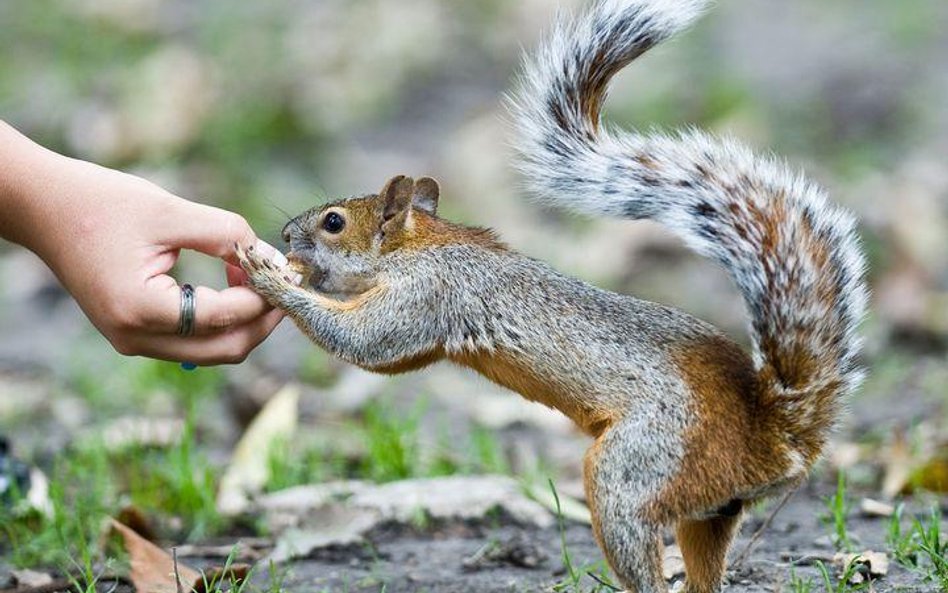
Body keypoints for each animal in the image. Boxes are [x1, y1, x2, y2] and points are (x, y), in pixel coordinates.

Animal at [237, 1, 868, 592]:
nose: (286, 236)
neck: (423, 246)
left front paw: (274, 278)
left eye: (334, 222)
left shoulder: (430, 294)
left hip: (635, 471)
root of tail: (774, 436)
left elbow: (369, 343)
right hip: (710, 510)